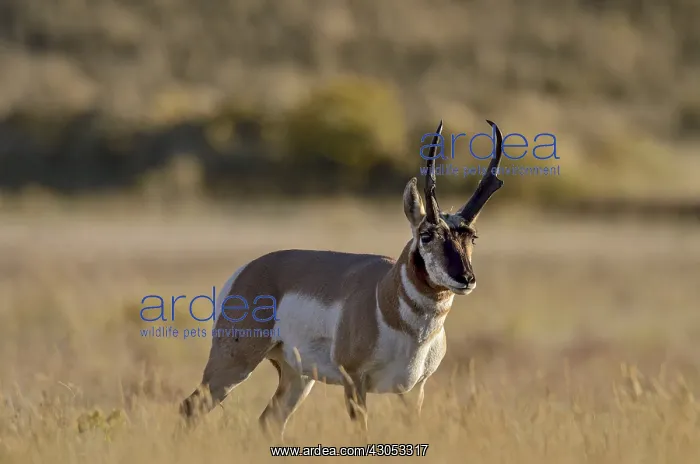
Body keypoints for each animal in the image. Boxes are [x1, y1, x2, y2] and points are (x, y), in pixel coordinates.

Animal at [180, 120, 505, 438]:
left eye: (472, 237)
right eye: (427, 235)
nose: (465, 278)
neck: (385, 298)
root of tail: (249, 269)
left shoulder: (414, 391)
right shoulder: (355, 382)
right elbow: (361, 434)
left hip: (297, 377)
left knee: (269, 421)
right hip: (234, 363)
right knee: (190, 407)